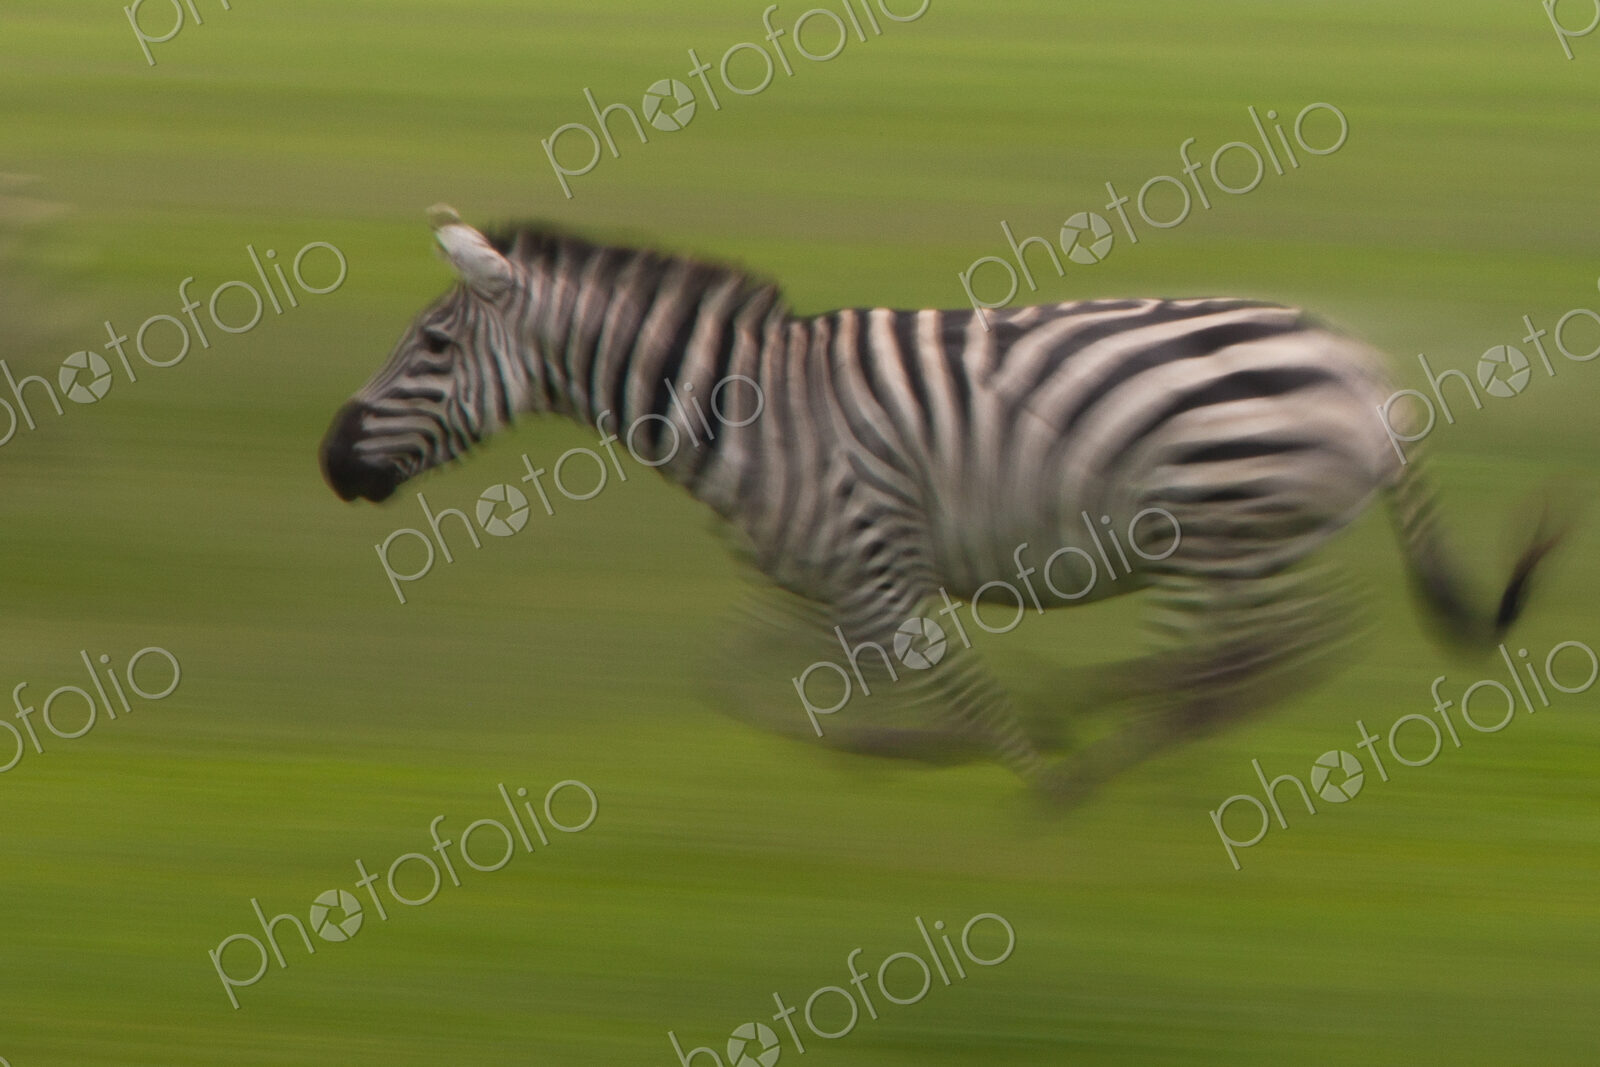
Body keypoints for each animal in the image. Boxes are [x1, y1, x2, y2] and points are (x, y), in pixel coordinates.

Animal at [319, 205, 1560, 805]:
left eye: (432, 346)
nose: (332, 461)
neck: (749, 406)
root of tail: (1362, 372)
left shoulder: (875, 570)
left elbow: (963, 695)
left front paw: (1032, 778)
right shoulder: (813, 579)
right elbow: (737, 686)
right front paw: (883, 751)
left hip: (1218, 520)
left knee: (1238, 654)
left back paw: (1103, 743)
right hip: (1247, 533)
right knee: (1273, 650)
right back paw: (1135, 737)